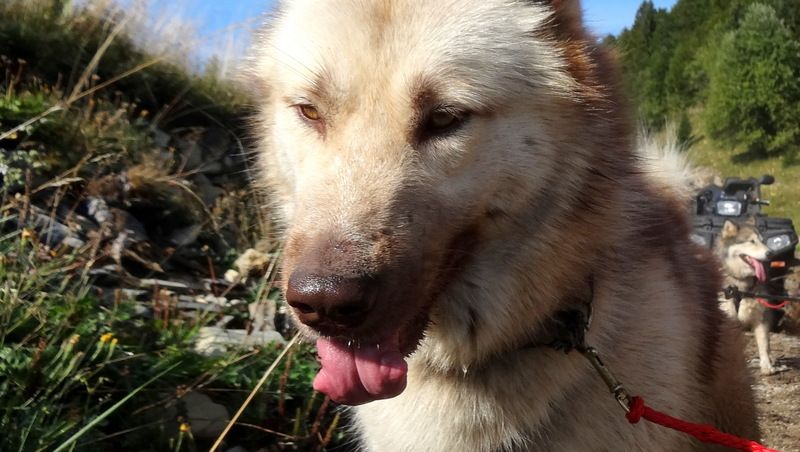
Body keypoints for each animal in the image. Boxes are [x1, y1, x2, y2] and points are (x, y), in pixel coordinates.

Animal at [715, 219, 784, 375]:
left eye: (763, 241)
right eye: (751, 241)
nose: (771, 253)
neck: (740, 287)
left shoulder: (761, 318)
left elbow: (764, 344)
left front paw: (766, 365)